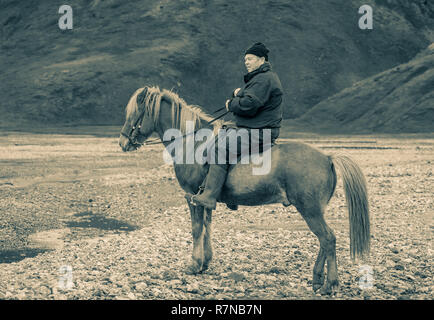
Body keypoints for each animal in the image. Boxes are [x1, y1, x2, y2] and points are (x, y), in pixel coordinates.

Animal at [118, 85, 370, 296]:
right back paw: (317, 280)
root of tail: (327, 157)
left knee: (328, 238)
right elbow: (208, 227)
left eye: (136, 112)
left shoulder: (191, 197)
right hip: (314, 210)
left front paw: (194, 264)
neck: (192, 144)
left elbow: (197, 229)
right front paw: (205, 262)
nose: (123, 142)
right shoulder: (205, 199)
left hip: (310, 210)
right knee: (324, 241)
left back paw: (330, 284)